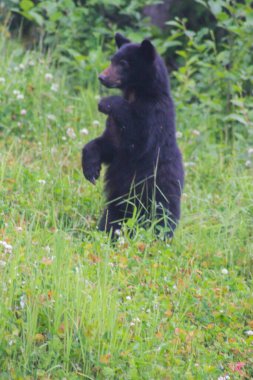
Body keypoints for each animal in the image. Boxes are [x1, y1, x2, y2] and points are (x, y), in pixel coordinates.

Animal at [82, 33, 184, 238]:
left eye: (124, 63)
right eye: (112, 60)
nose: (102, 77)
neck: (135, 93)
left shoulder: (154, 116)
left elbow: (139, 140)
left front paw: (106, 102)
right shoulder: (114, 129)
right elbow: (107, 144)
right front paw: (90, 169)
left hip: (158, 196)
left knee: (162, 221)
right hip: (119, 205)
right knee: (112, 219)